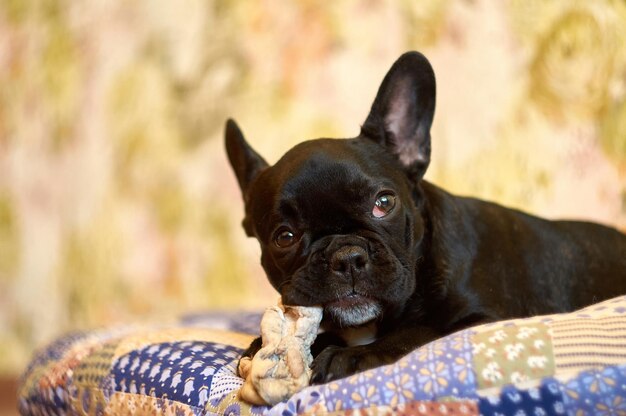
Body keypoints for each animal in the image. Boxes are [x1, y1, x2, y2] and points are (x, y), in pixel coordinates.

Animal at [224, 51, 624, 384]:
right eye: (284, 237)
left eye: (384, 203)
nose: (347, 257)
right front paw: (265, 344)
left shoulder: (486, 318)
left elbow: (423, 331)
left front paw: (351, 355)